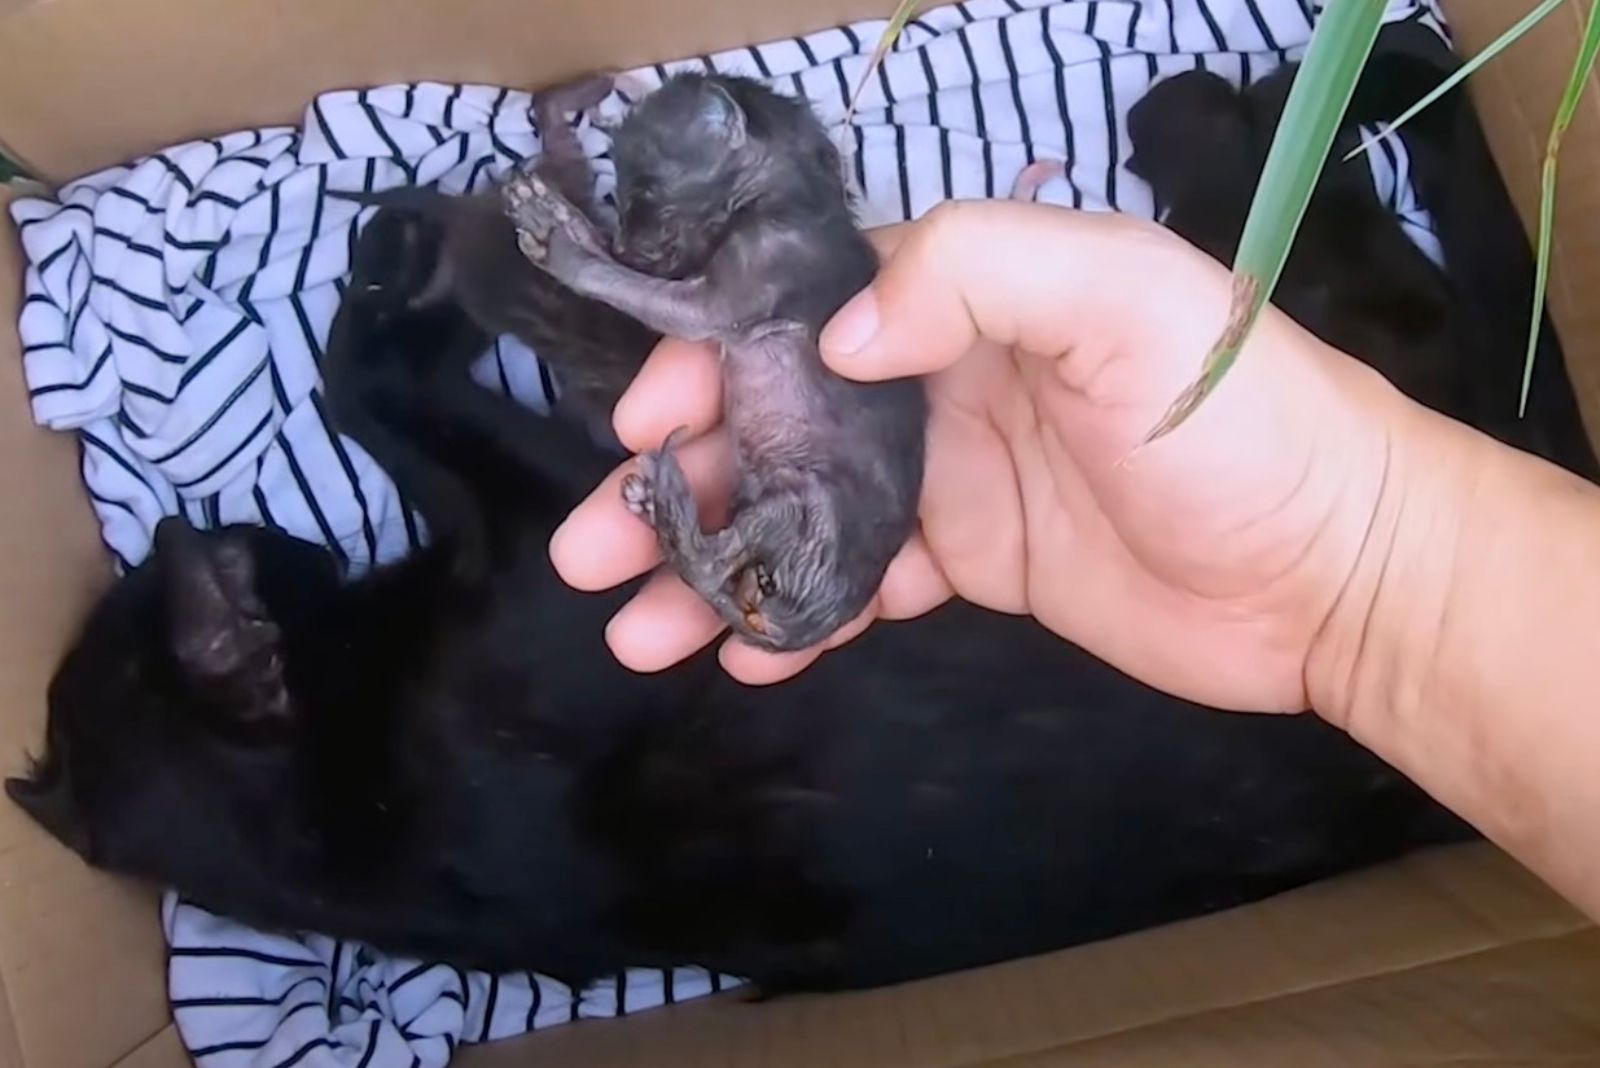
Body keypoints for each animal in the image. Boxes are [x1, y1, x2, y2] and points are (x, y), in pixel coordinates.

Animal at [496, 75, 928, 652]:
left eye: (645, 196)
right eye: (618, 196)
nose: (624, 241)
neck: (788, 196)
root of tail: (810, 622)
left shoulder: (735, 286)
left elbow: (625, 283)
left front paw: (563, 244)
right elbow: (623, 273)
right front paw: (559, 217)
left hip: (803, 505)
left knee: (708, 564)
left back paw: (665, 502)